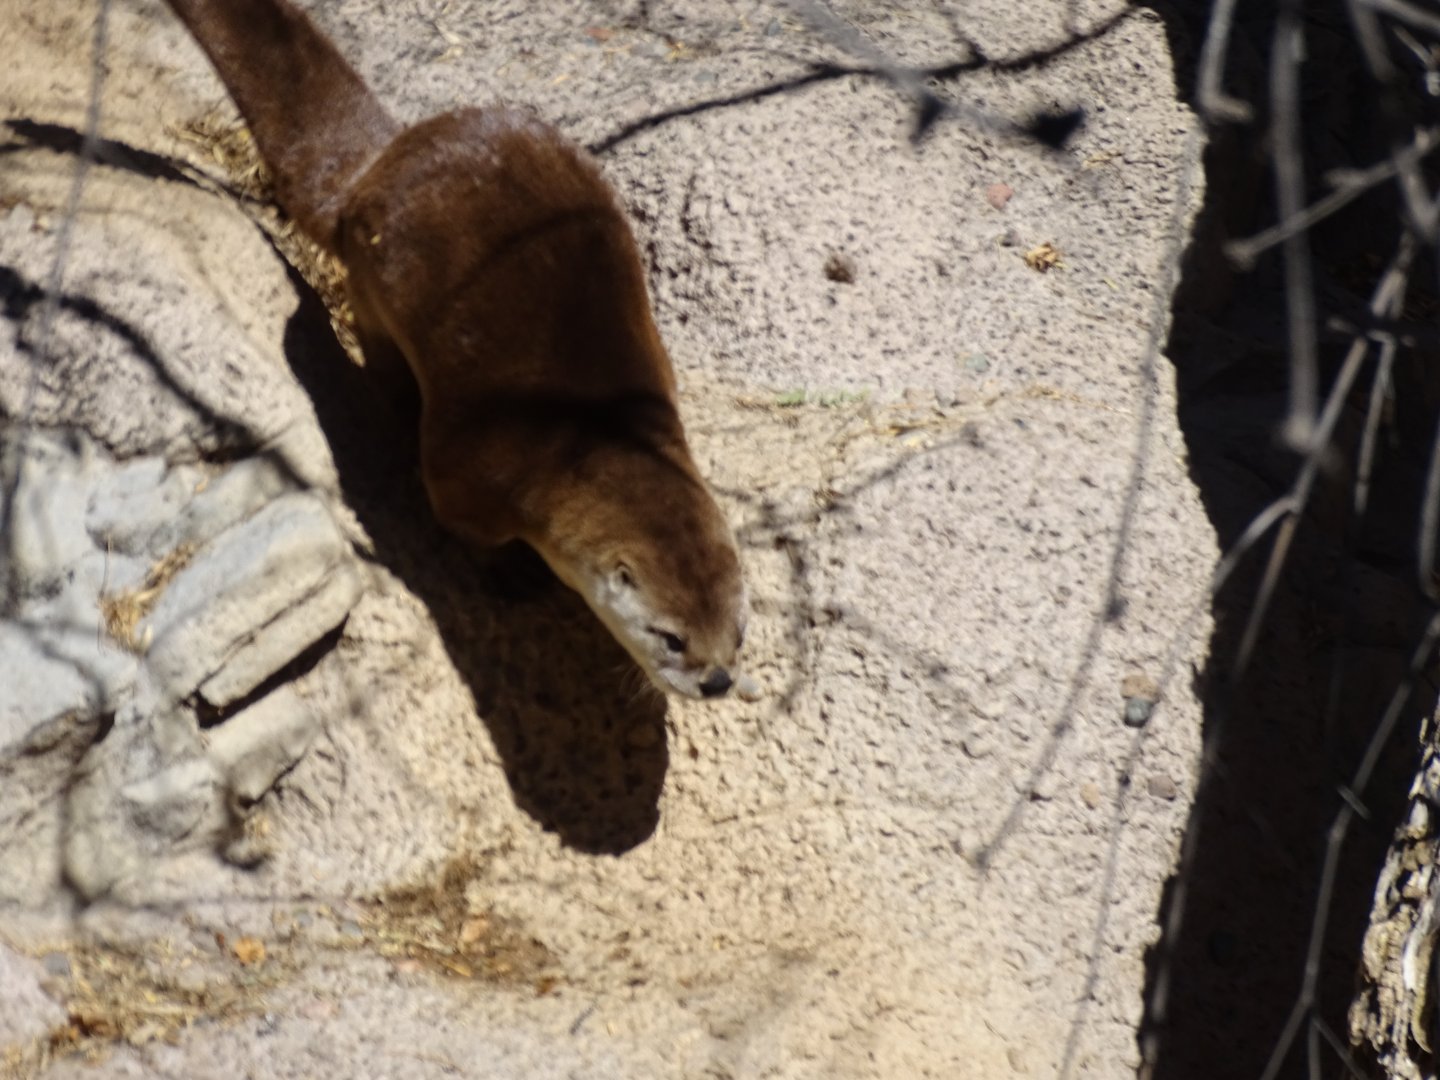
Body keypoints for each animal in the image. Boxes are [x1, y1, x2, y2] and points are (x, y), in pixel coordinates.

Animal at [160, 0, 746, 699]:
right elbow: (461, 524)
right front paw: (510, 575)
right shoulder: (474, 470)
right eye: (670, 637)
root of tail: (381, 163)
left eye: (738, 631)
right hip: (373, 286)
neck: (578, 438)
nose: (717, 681)